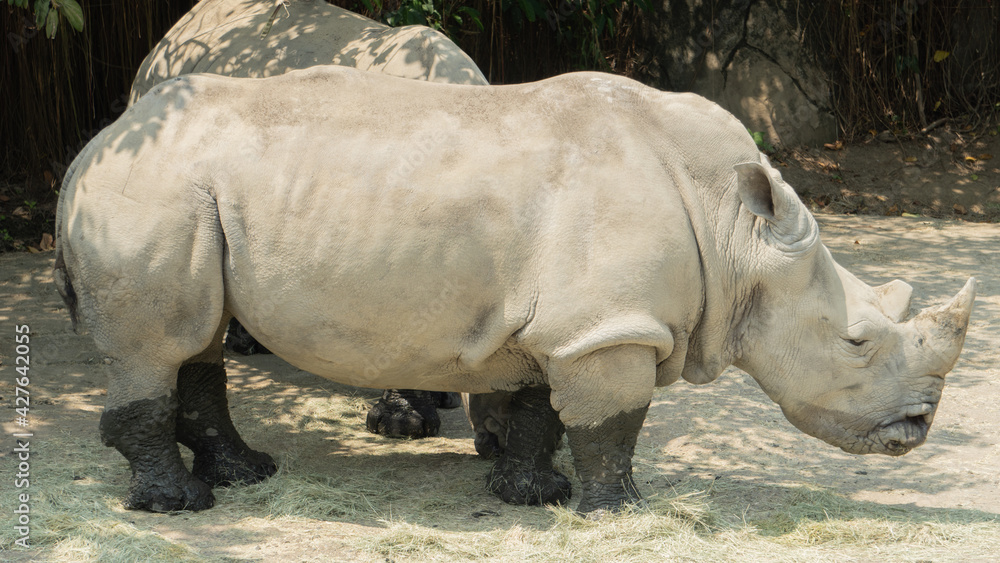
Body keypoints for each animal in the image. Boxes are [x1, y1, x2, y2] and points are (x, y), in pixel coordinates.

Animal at [53, 66, 975, 513]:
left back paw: (247, 475)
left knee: (197, 339)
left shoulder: (567, 323)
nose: (918, 428)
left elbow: (544, 412)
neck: (736, 232)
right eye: (857, 342)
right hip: (150, 191)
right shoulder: (608, 324)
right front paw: (619, 513)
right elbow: (614, 423)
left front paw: (534, 495)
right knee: (158, 344)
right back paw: (179, 507)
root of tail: (91, 146)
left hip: (185, 195)